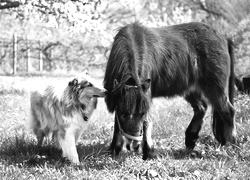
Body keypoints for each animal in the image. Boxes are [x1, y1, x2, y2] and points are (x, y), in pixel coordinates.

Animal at [103, 21, 236, 160]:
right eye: (123, 114)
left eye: (141, 113)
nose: (135, 145)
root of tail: (225, 39)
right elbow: (117, 124)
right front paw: (114, 150)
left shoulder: (146, 97)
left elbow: (146, 123)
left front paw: (148, 152)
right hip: (190, 89)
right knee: (201, 107)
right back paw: (190, 141)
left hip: (215, 88)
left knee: (228, 111)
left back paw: (230, 144)